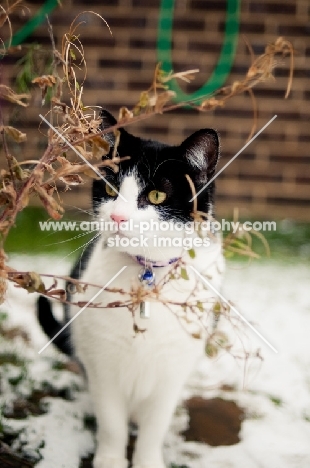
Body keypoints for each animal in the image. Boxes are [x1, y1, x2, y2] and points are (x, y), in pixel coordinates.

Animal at [37, 110, 224, 468]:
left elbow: (155, 426)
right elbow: (112, 422)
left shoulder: (172, 368)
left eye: (155, 196)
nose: (118, 218)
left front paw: (148, 460)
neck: (147, 271)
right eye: (111, 188)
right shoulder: (102, 364)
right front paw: (110, 459)